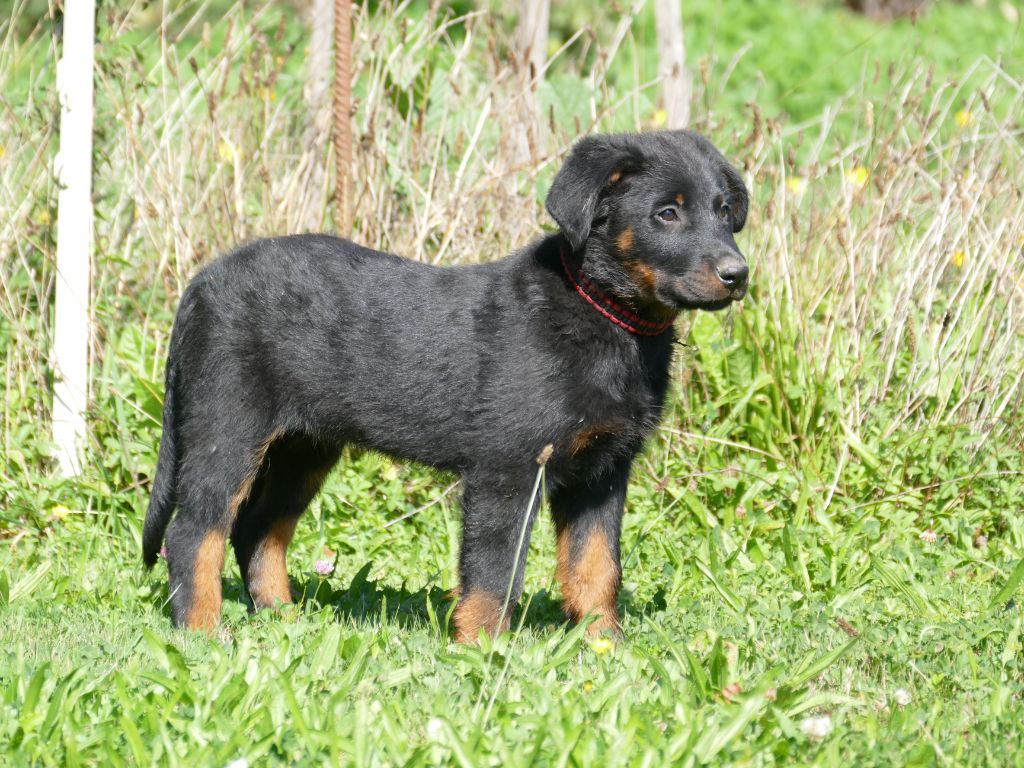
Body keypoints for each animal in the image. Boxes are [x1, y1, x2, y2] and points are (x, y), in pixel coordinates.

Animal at [144, 129, 749, 638]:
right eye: (666, 213)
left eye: (725, 212)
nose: (737, 274)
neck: (608, 316)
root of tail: (200, 284)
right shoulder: (508, 469)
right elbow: (494, 572)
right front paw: (482, 649)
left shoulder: (602, 472)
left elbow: (596, 566)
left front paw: (604, 646)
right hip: (227, 427)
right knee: (194, 531)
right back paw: (201, 632)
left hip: (303, 447)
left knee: (258, 530)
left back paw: (284, 619)